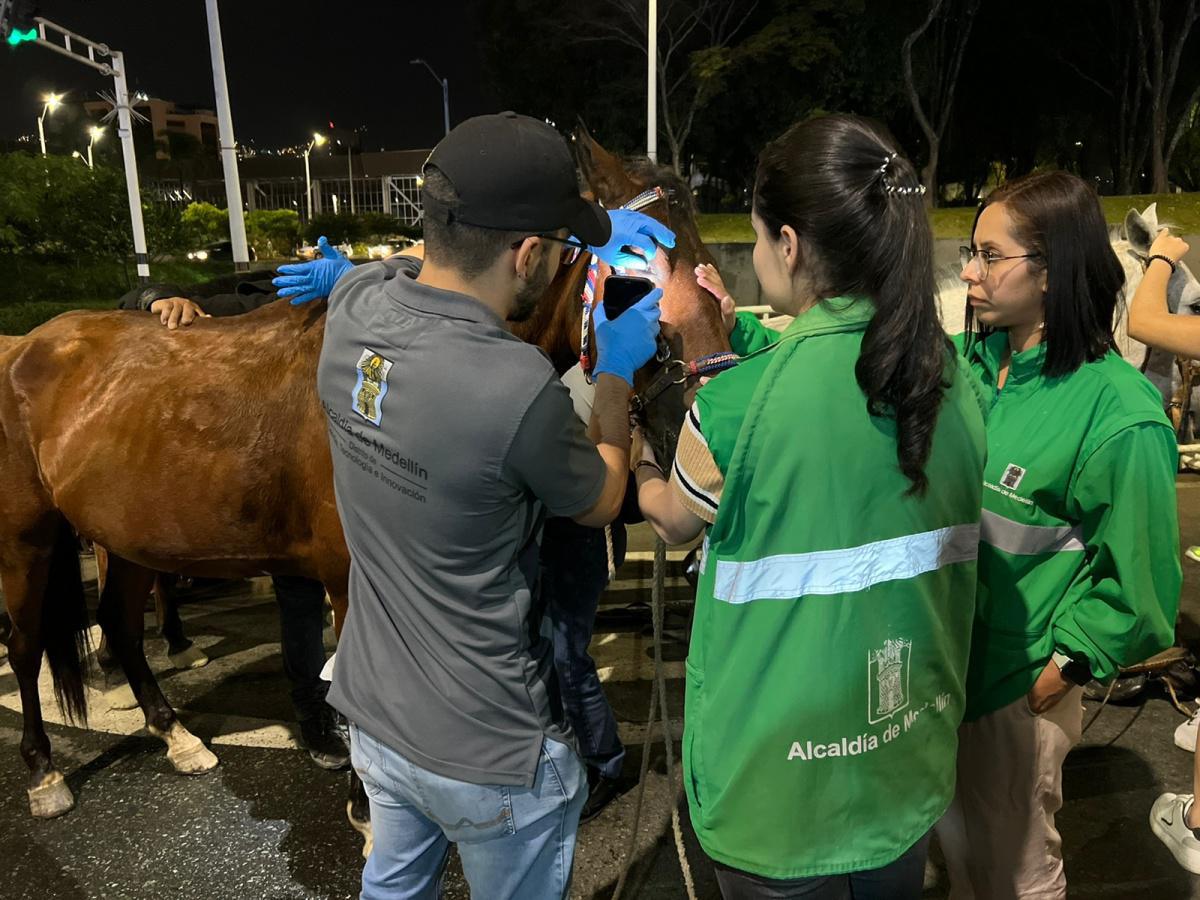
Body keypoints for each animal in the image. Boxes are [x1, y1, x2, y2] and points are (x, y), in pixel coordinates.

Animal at [0, 127, 724, 825]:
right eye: (636, 264)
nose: (694, 427)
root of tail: (24, 344)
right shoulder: (353, 576)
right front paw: (369, 807)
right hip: (28, 539)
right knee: (27, 644)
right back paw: (43, 773)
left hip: (128, 535)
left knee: (120, 627)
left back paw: (175, 735)